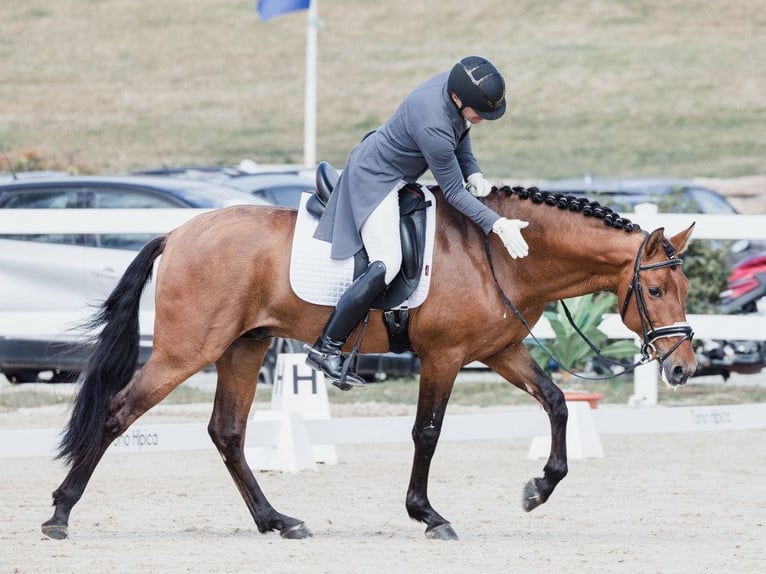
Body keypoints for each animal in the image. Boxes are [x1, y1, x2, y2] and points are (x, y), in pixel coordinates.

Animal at [42, 186, 704, 544]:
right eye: (656, 290)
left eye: (684, 288)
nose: (681, 369)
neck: (501, 255)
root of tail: (177, 232)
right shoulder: (445, 357)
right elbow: (427, 433)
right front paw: (428, 515)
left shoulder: (501, 351)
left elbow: (558, 403)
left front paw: (538, 490)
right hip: (189, 351)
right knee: (118, 413)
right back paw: (60, 513)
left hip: (244, 347)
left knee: (227, 433)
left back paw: (277, 521)